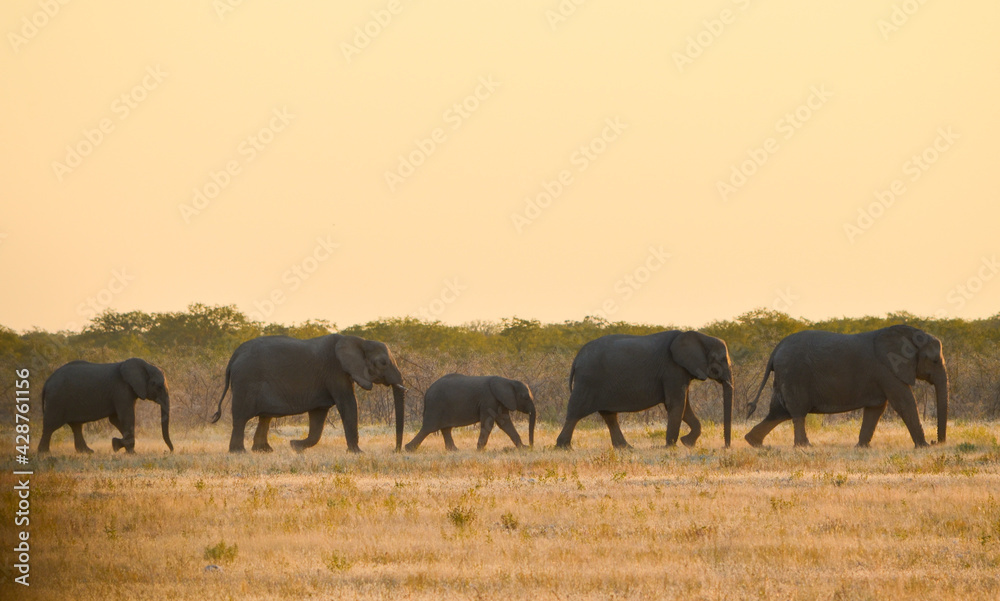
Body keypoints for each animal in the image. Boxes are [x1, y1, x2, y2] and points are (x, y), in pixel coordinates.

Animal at [37, 358, 172, 452]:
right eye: (159, 386)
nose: (168, 451)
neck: (146, 364)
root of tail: (47, 382)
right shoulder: (121, 389)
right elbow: (126, 417)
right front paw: (128, 450)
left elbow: (115, 419)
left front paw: (118, 445)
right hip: (56, 400)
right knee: (50, 426)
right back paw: (44, 453)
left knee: (76, 426)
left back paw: (87, 452)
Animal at [211, 330, 406, 452]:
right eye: (383, 363)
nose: (395, 450)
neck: (360, 340)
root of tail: (234, 356)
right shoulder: (335, 370)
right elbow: (348, 404)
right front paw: (358, 452)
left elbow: (319, 414)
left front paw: (295, 446)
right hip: (246, 381)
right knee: (241, 418)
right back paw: (239, 452)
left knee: (265, 417)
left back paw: (264, 451)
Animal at [404, 376, 536, 450]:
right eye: (525, 397)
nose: (531, 446)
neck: (508, 381)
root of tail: (427, 392)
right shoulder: (488, 400)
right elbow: (488, 423)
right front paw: (480, 449)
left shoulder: (500, 401)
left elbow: (505, 423)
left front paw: (523, 448)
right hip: (436, 405)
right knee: (428, 428)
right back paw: (409, 449)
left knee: (445, 429)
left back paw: (454, 450)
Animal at [556, 330, 736, 448]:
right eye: (721, 360)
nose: (725, 447)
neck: (701, 336)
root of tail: (577, 358)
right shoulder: (672, 368)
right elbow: (676, 403)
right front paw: (672, 447)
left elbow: (683, 405)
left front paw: (687, 443)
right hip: (588, 380)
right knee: (575, 412)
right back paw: (563, 447)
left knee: (609, 415)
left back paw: (625, 448)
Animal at [748, 326, 948, 448]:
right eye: (934, 361)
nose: (936, 441)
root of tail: (776, 348)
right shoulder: (889, 368)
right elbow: (904, 403)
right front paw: (923, 447)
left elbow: (876, 408)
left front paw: (862, 447)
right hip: (794, 374)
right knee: (796, 412)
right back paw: (804, 446)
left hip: (786, 376)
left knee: (778, 411)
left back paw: (755, 442)